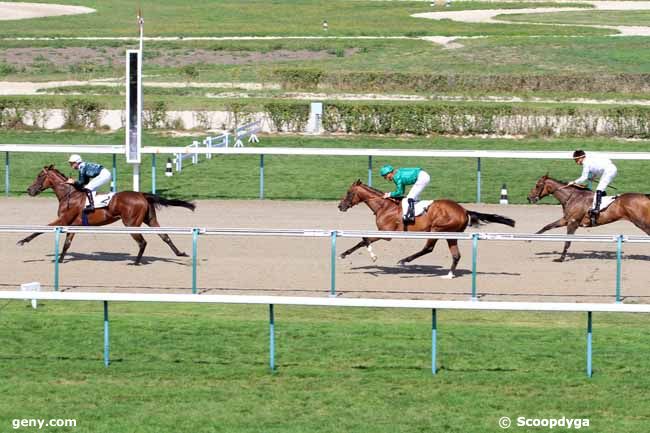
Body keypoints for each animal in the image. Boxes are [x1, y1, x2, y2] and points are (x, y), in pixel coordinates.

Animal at [17, 165, 195, 264]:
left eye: (40, 176)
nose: (29, 190)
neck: (69, 194)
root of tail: (142, 195)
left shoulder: (64, 219)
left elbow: (42, 229)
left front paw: (23, 240)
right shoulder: (73, 224)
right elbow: (67, 243)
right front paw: (60, 260)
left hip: (131, 223)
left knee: (143, 242)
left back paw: (136, 262)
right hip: (150, 219)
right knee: (164, 236)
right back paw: (179, 253)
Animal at [336, 179, 512, 276]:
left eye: (349, 192)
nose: (340, 206)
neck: (385, 206)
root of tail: (463, 210)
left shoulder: (386, 233)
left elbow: (364, 239)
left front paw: (360, 256)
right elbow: (363, 240)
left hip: (437, 229)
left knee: (428, 248)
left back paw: (404, 260)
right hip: (451, 235)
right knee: (456, 255)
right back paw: (449, 274)